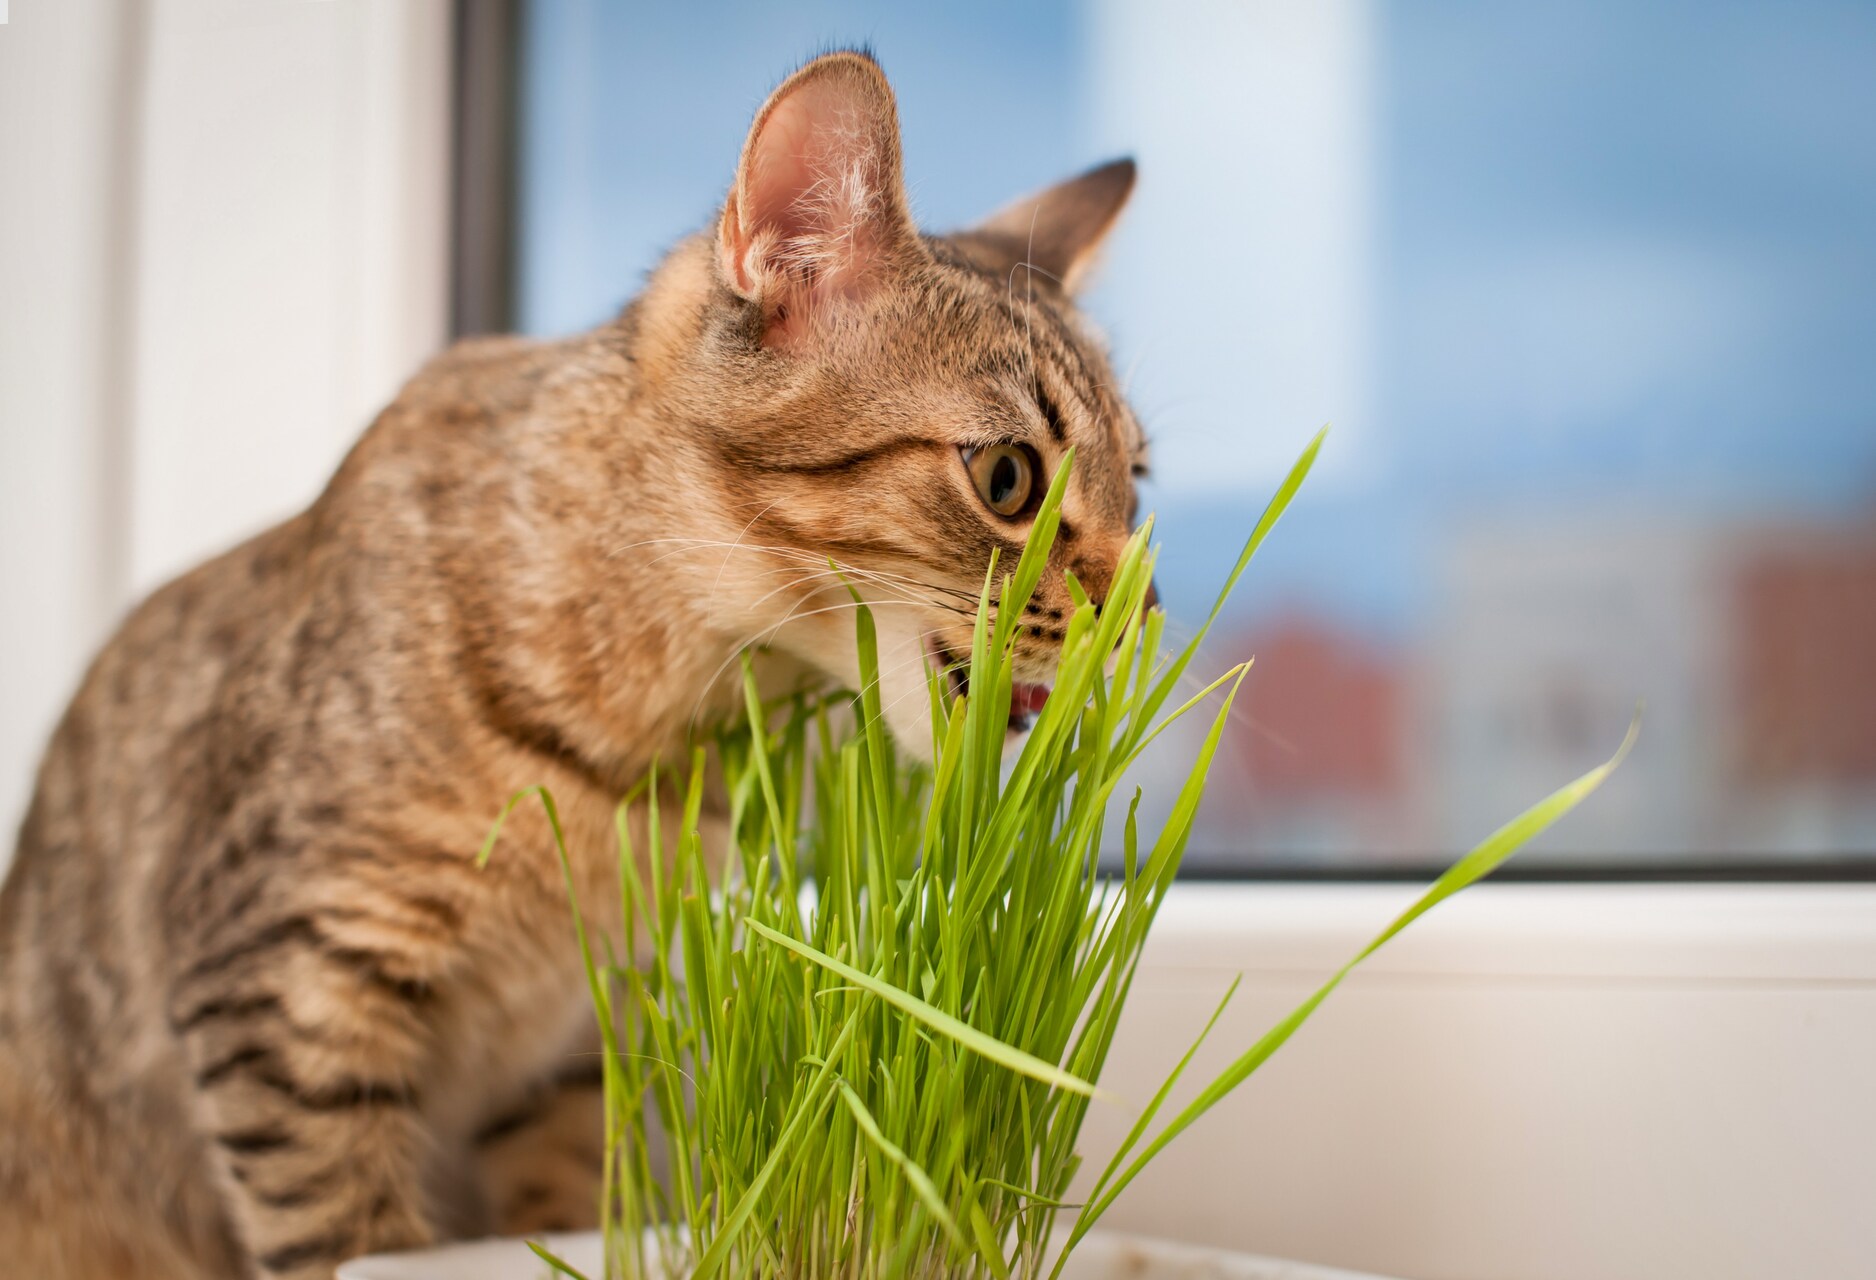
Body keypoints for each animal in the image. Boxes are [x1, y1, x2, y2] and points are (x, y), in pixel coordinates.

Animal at [0, 52, 1148, 1276]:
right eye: (1010, 478)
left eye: (1137, 483)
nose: (1143, 608)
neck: (656, 735)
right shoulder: (287, 984)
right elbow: (352, 1230)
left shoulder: (573, 1044)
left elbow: (564, 1206)